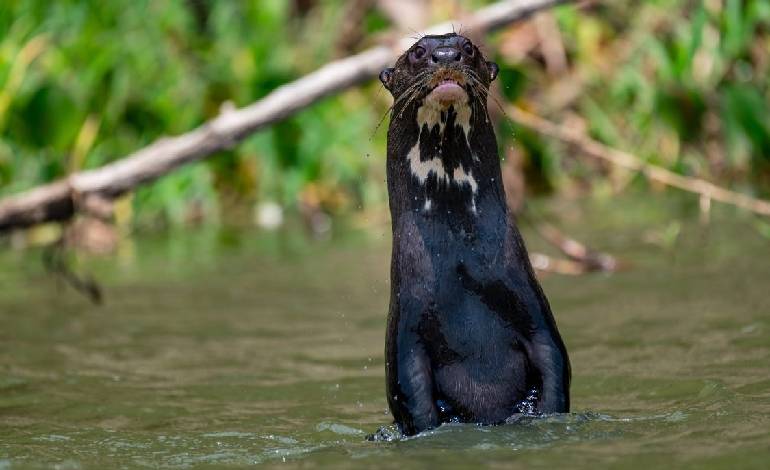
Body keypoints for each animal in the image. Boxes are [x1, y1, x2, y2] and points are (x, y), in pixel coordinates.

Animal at [378, 33, 570, 436]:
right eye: (418, 51)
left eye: (467, 46)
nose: (446, 54)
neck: (458, 256)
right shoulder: (406, 323)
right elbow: (410, 393)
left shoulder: (529, 300)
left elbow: (555, 361)